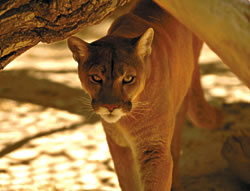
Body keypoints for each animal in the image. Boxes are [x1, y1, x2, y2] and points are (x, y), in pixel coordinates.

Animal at [68, 0, 223, 190]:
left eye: (128, 78)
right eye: (96, 78)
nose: (111, 107)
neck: (126, 121)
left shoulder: (154, 149)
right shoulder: (118, 146)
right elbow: (128, 181)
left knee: (175, 149)